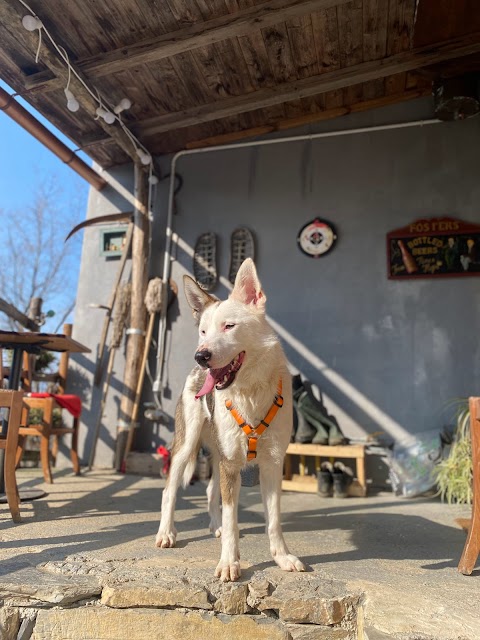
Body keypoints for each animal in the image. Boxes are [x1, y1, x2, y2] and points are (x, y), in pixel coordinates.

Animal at [158, 258, 308, 584]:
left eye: (229, 326)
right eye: (203, 331)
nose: (201, 355)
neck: (250, 392)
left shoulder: (272, 463)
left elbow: (274, 519)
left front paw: (282, 557)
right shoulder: (231, 465)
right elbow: (232, 521)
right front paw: (229, 562)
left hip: (219, 454)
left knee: (210, 490)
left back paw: (213, 525)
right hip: (186, 446)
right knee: (169, 490)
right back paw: (166, 532)